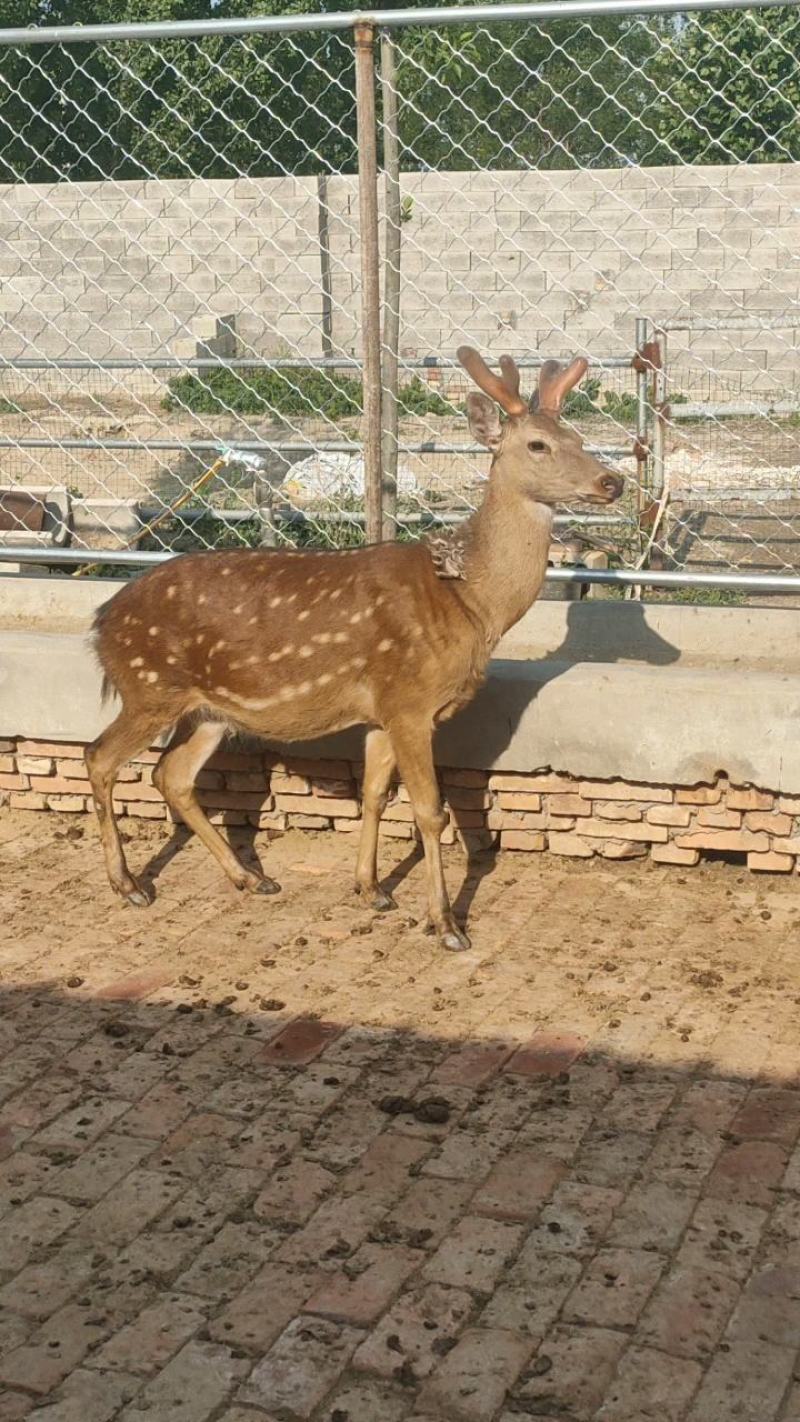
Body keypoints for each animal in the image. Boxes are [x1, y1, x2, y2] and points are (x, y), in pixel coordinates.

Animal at [86, 346, 622, 951]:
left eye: (577, 436)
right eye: (537, 444)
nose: (612, 482)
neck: (470, 603)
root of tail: (102, 621)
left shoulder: (380, 711)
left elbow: (374, 795)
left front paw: (372, 889)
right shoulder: (410, 702)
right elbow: (430, 813)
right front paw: (445, 924)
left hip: (209, 711)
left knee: (170, 775)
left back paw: (249, 877)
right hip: (149, 688)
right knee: (100, 758)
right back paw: (129, 885)